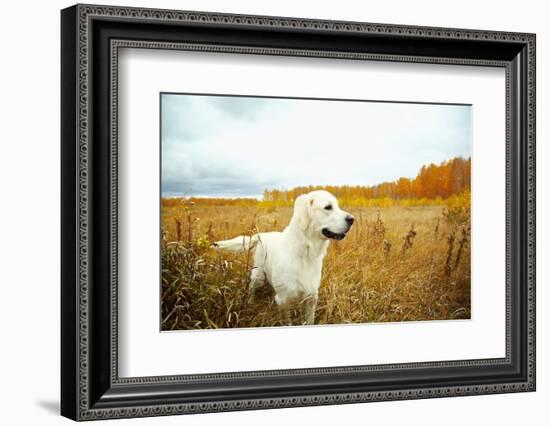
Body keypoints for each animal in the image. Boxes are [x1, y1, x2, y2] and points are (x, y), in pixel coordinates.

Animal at [213, 191, 356, 324]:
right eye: (328, 207)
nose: (352, 219)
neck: (305, 254)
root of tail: (260, 235)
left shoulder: (312, 297)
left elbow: (309, 320)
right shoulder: (284, 300)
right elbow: (288, 321)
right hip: (258, 276)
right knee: (251, 289)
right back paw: (250, 302)